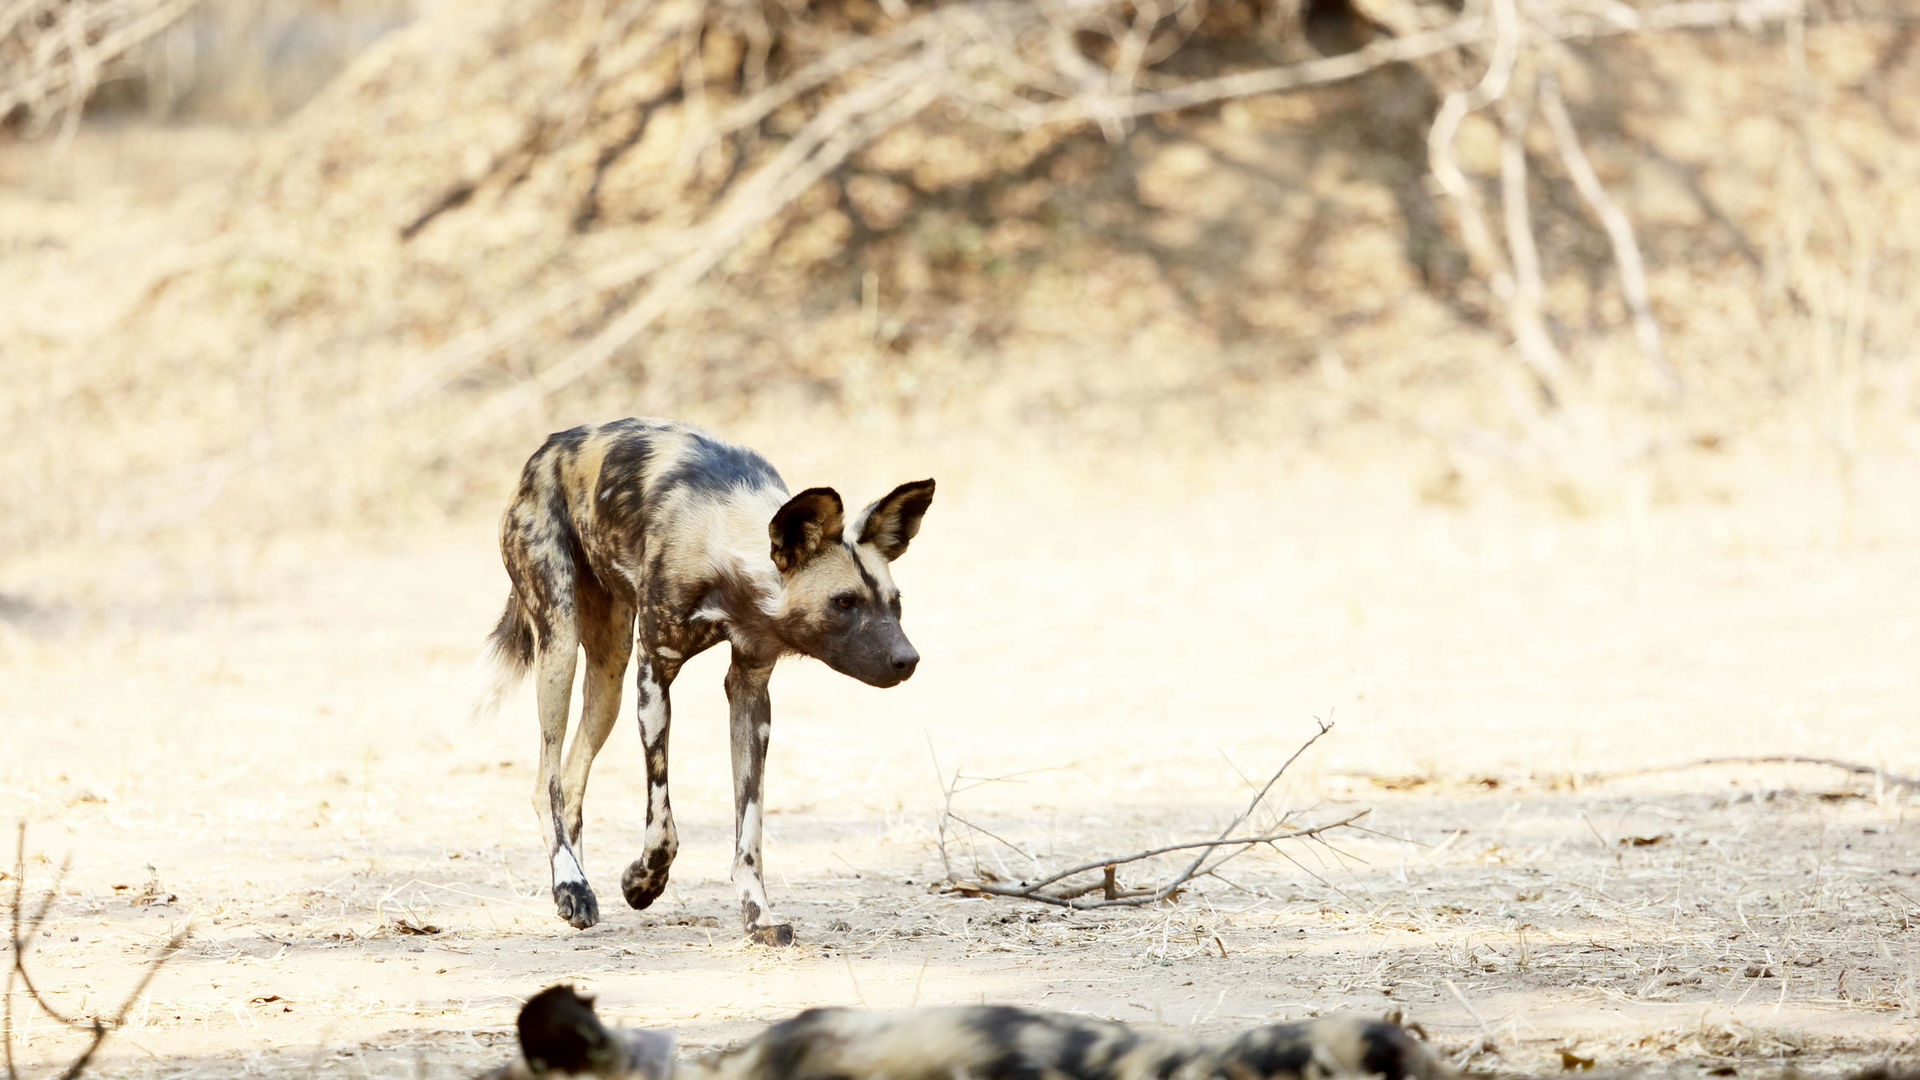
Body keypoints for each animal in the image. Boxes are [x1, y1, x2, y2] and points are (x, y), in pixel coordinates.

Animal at [476, 417, 933, 937]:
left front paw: (758, 917)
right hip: (561, 647)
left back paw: (579, 885)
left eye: (895, 603)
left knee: (571, 783)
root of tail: (548, 447)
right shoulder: (654, 672)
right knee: (545, 783)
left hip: (609, 676)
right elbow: (663, 823)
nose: (908, 659)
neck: (726, 553)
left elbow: (749, 831)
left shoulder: (751, 691)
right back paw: (570, 885)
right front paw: (642, 882)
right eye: (844, 602)